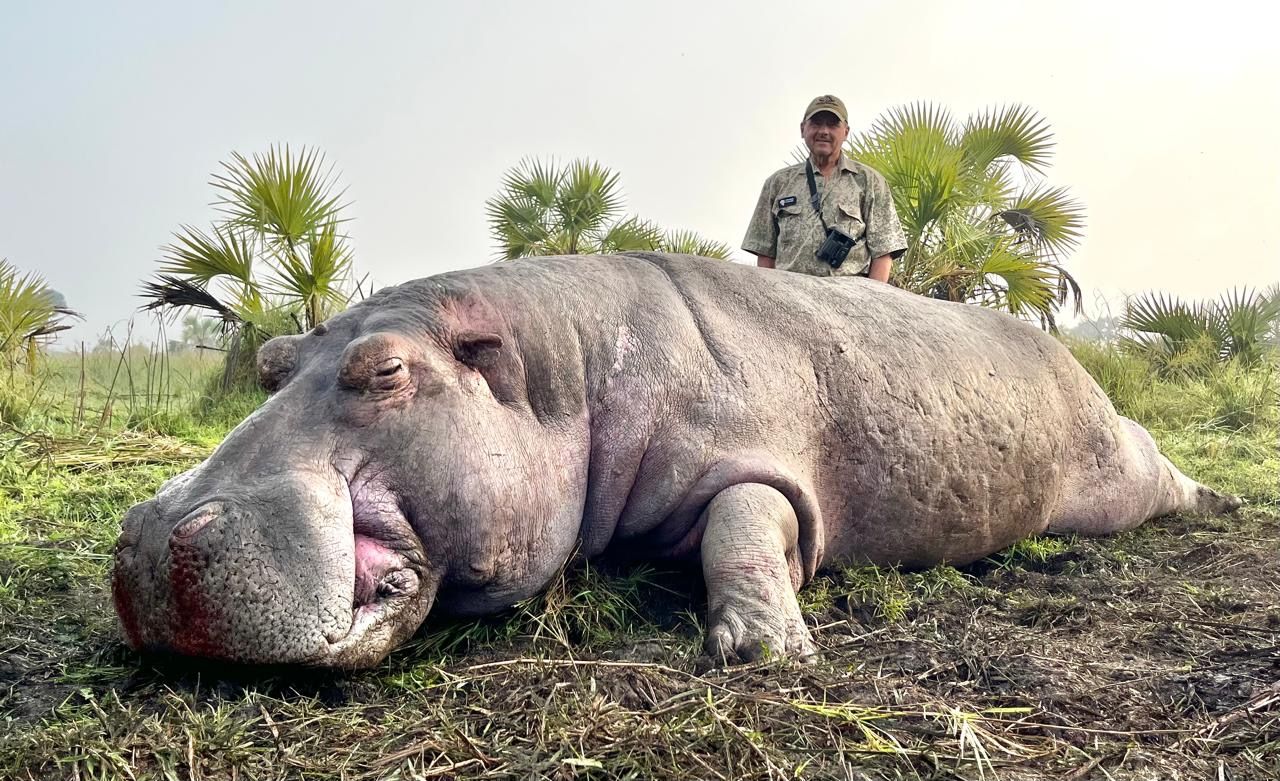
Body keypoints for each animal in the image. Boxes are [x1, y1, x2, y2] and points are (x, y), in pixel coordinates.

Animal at [112, 254, 1239, 667]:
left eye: (384, 368)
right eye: (270, 363)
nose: (154, 531)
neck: (558, 369)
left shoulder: (756, 461)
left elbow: (746, 526)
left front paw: (762, 651)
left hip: (1115, 466)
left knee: (1161, 473)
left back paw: (1223, 501)